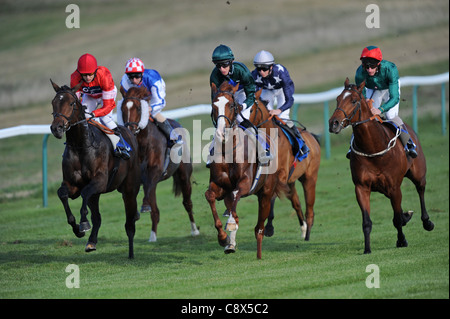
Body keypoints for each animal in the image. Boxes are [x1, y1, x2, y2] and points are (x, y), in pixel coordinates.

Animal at [49, 80, 142, 260]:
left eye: (71, 103)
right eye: (53, 102)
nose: (56, 128)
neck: (81, 146)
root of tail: (129, 132)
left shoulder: (99, 181)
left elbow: (85, 194)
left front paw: (83, 223)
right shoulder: (72, 185)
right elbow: (62, 194)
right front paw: (77, 228)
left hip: (129, 188)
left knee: (129, 223)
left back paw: (131, 254)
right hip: (98, 194)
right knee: (98, 217)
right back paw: (91, 242)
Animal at [118, 87, 200, 242]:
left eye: (138, 108)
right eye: (122, 108)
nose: (130, 130)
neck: (143, 144)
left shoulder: (154, 173)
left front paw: (143, 207)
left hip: (184, 175)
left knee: (187, 203)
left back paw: (194, 230)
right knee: (155, 210)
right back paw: (153, 236)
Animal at [206, 81, 322, 258]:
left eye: (232, 105)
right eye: (214, 106)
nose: (221, 133)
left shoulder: (252, 182)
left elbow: (239, 195)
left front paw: (233, 226)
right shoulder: (221, 186)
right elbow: (211, 196)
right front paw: (223, 238)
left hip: (305, 179)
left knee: (303, 207)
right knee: (294, 200)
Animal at [328, 78, 434, 255]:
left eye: (354, 100)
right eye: (337, 99)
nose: (333, 123)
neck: (373, 148)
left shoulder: (394, 187)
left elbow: (397, 219)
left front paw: (401, 240)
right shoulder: (361, 187)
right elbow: (367, 222)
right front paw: (367, 249)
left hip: (418, 174)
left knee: (421, 190)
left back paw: (427, 222)